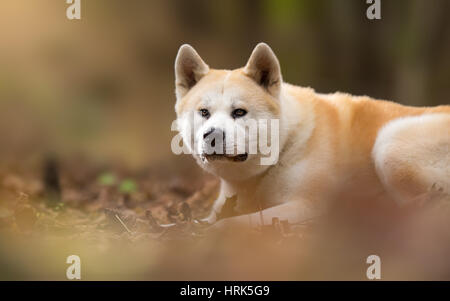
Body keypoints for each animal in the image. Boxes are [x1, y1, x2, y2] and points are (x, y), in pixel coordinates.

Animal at [173, 41, 450, 226]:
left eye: (239, 112)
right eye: (204, 112)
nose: (212, 136)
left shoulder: (305, 205)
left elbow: (234, 223)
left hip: (389, 143)